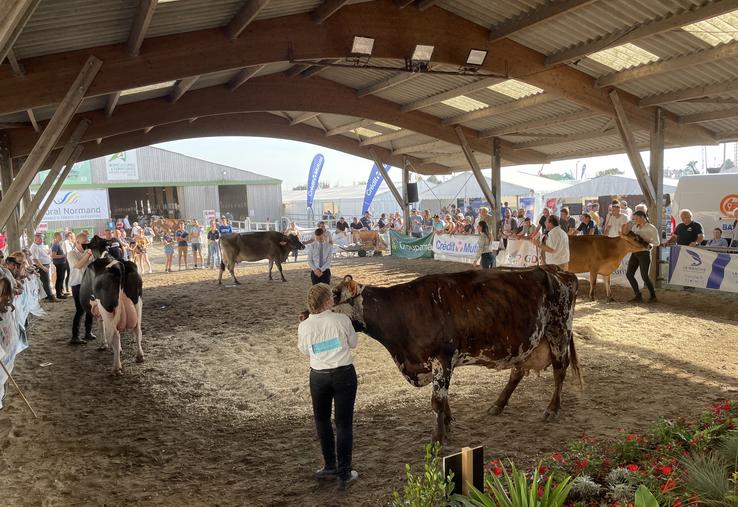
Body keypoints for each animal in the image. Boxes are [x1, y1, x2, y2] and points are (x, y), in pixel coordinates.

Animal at [330, 268, 576, 442]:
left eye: (334, 297)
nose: (312, 316)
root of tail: (557, 271)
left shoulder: (442, 358)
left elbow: (437, 400)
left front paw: (438, 438)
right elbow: (444, 397)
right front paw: (447, 424)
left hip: (558, 332)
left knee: (560, 370)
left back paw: (552, 409)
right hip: (526, 344)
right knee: (517, 372)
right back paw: (497, 405)